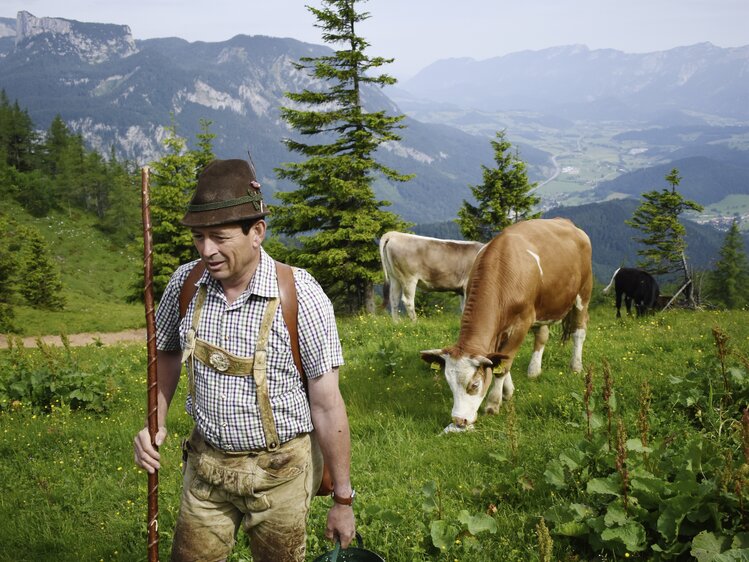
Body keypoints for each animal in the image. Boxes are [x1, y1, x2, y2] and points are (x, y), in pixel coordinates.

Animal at [420, 219, 592, 428]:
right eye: (449, 384)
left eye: (475, 385)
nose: (459, 420)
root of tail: (567, 222)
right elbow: (498, 358)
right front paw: (508, 392)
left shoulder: (522, 323)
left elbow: (504, 364)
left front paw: (493, 403)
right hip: (544, 304)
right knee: (542, 335)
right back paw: (534, 370)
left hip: (584, 292)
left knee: (579, 331)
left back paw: (575, 366)